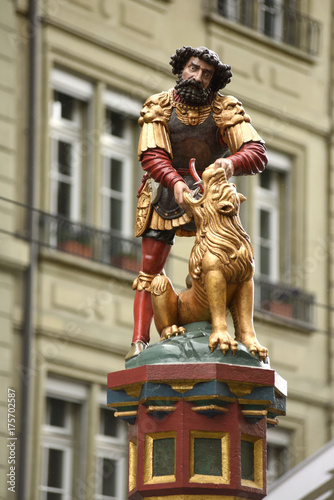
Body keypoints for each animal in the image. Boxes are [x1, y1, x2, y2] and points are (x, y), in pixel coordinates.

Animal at [151, 162, 268, 362]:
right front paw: (223, 340)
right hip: (164, 291)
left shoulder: (246, 280)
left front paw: (254, 346)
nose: (216, 166)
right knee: (160, 288)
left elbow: (246, 317)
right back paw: (172, 331)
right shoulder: (214, 275)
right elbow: (218, 309)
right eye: (220, 187)